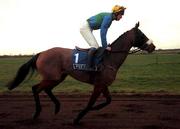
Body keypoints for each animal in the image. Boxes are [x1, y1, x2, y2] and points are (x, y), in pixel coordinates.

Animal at [6, 22, 155, 125]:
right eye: (142, 34)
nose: (153, 47)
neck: (109, 58)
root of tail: (41, 53)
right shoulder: (98, 85)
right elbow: (90, 103)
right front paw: (77, 118)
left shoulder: (103, 84)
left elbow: (108, 100)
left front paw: (95, 109)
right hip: (52, 77)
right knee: (35, 88)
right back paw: (36, 113)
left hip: (58, 77)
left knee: (45, 89)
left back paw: (57, 107)